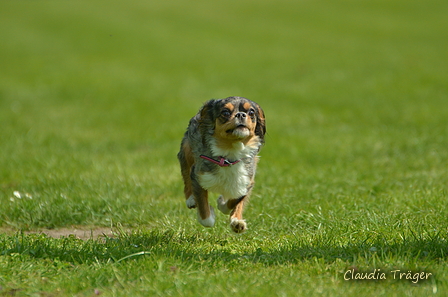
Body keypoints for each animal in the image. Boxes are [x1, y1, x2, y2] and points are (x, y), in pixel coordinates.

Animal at [177, 96, 264, 232]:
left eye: (251, 112)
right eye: (225, 113)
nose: (241, 114)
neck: (230, 155)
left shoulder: (246, 181)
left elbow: (236, 200)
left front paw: (235, 220)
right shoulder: (198, 175)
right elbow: (205, 213)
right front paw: (210, 214)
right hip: (186, 151)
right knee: (186, 176)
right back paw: (191, 199)